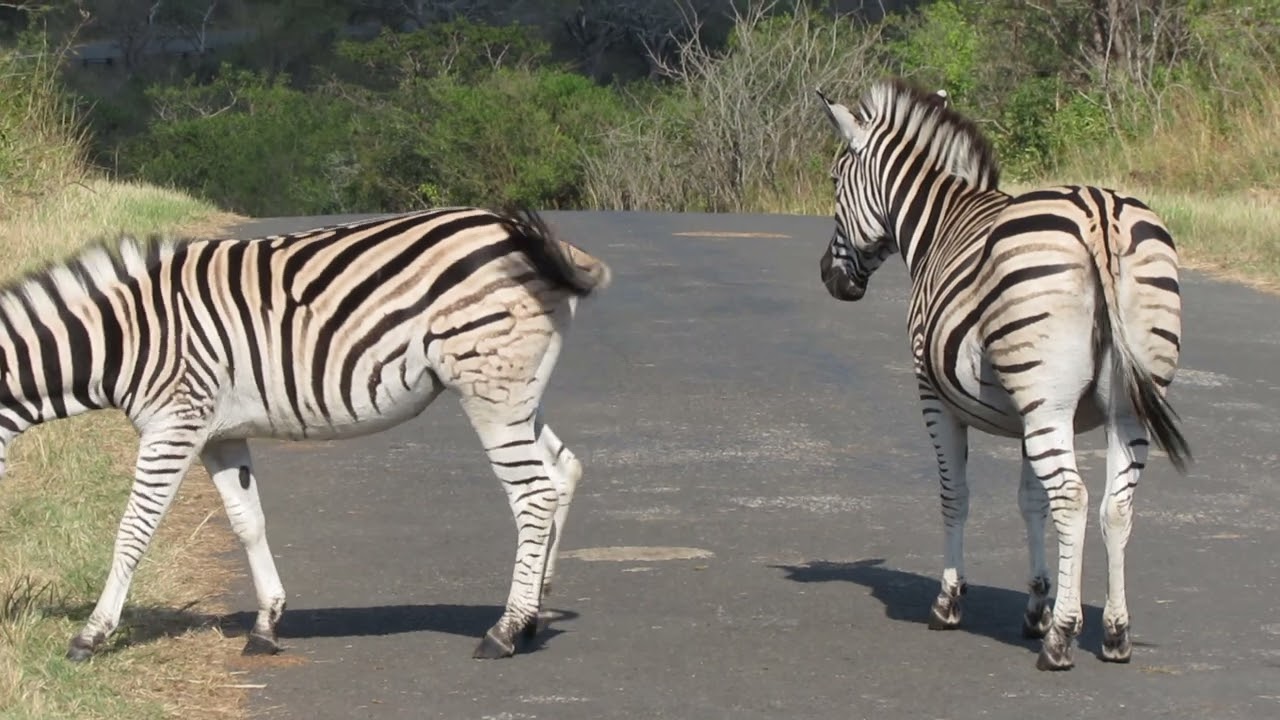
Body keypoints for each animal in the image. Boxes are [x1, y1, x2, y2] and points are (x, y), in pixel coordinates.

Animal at [0, 206, 611, 661]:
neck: (125, 336)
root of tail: (533, 241)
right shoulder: (218, 434)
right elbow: (248, 522)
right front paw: (266, 625)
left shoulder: (174, 423)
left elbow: (134, 529)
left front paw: (91, 634)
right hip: (516, 392)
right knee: (562, 470)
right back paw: (532, 616)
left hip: (489, 389)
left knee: (533, 494)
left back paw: (503, 632)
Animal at [813, 78, 1191, 671]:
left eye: (834, 180)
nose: (831, 279)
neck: (940, 225)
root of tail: (1099, 213)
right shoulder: (1026, 415)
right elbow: (1030, 500)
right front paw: (1037, 605)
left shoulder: (934, 397)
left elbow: (956, 493)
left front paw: (950, 602)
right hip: (1117, 405)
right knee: (1116, 505)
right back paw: (1114, 633)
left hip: (1048, 400)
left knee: (1074, 499)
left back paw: (1062, 641)